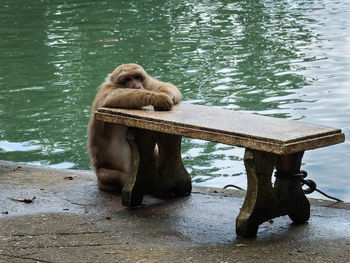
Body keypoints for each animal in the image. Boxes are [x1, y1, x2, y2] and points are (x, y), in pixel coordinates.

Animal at [87, 63, 182, 193]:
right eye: (127, 79)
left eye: (137, 77)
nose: (137, 85)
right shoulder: (106, 90)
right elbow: (114, 96)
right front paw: (159, 98)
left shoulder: (147, 83)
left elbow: (164, 85)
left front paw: (165, 95)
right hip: (105, 175)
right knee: (115, 176)